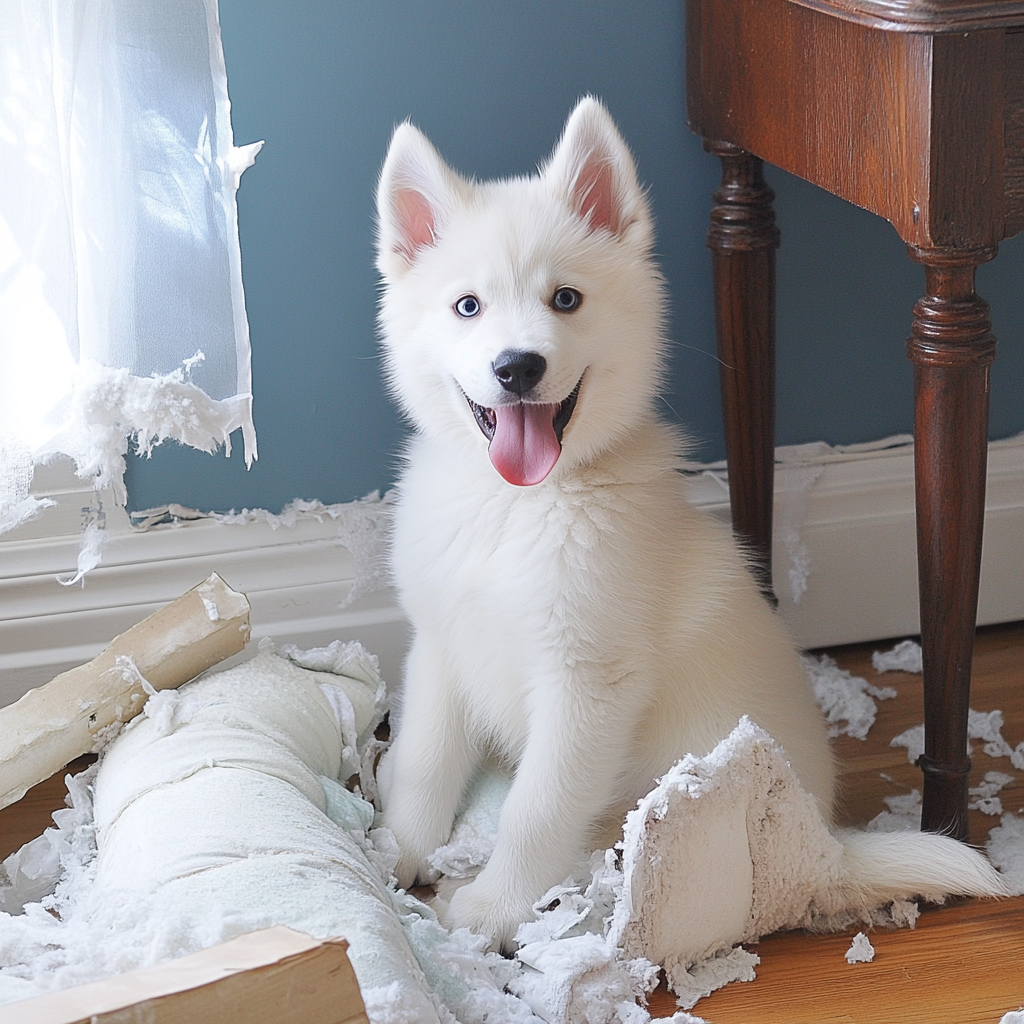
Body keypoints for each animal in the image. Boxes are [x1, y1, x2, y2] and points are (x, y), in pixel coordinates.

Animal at [372, 99, 1003, 946]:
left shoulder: (586, 684)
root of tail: (828, 851)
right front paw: (392, 852)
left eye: (565, 300)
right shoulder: (444, 645)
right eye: (467, 306)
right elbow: (421, 761)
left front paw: (486, 909)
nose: (518, 367)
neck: (519, 504)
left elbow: (535, 810)